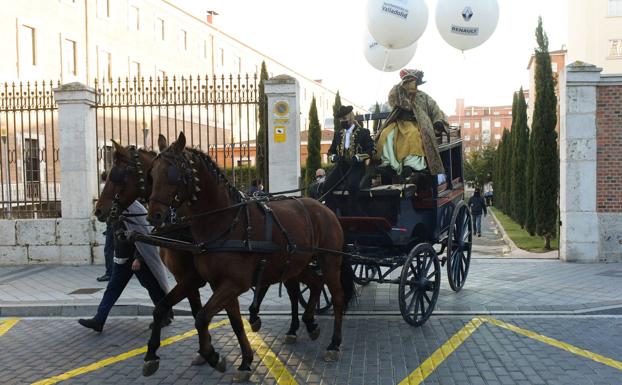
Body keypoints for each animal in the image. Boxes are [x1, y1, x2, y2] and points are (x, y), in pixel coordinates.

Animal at [144, 132, 354, 378]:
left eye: (173, 174)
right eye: (151, 174)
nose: (154, 216)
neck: (224, 221)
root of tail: (323, 207)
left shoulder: (234, 283)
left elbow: (202, 317)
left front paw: (213, 356)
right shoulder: (214, 283)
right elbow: (232, 321)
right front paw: (244, 360)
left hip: (330, 260)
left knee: (337, 296)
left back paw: (334, 343)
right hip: (297, 265)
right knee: (315, 284)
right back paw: (309, 323)